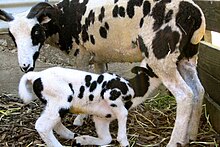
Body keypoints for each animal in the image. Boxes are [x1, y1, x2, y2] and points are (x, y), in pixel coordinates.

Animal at [18, 65, 159, 147]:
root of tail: (36, 75)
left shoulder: (101, 118)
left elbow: (106, 138)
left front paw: (83, 140)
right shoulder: (110, 94)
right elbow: (123, 115)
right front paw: (124, 142)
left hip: (54, 104)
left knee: (54, 123)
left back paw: (72, 136)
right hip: (62, 98)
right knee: (42, 126)